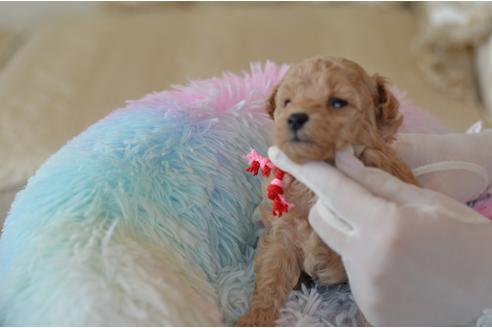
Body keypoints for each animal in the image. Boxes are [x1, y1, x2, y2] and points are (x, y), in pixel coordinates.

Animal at [236, 56, 418, 326]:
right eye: (287, 102)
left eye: (337, 103)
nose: (295, 118)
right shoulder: (282, 233)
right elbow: (270, 277)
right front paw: (256, 318)